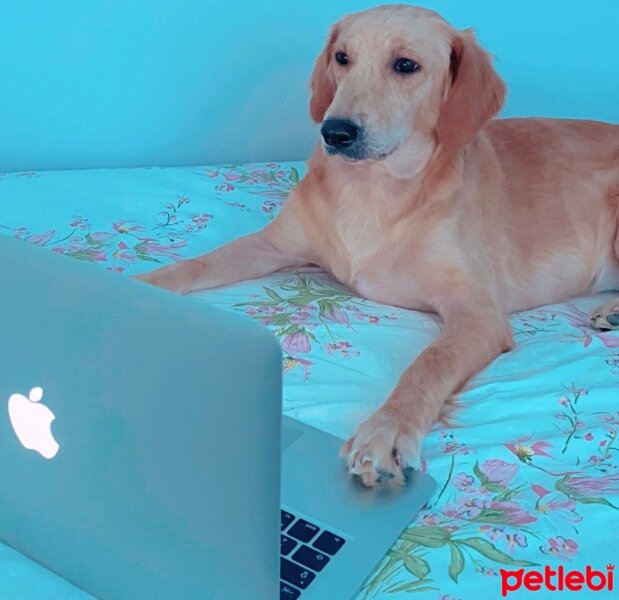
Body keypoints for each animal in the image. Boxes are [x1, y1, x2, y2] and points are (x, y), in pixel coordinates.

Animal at [137, 4, 619, 488]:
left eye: (405, 65)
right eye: (342, 57)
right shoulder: (271, 245)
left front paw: (385, 430)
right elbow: (196, 265)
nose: (335, 132)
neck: (374, 187)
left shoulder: (478, 314)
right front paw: (138, 284)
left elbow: (426, 366)